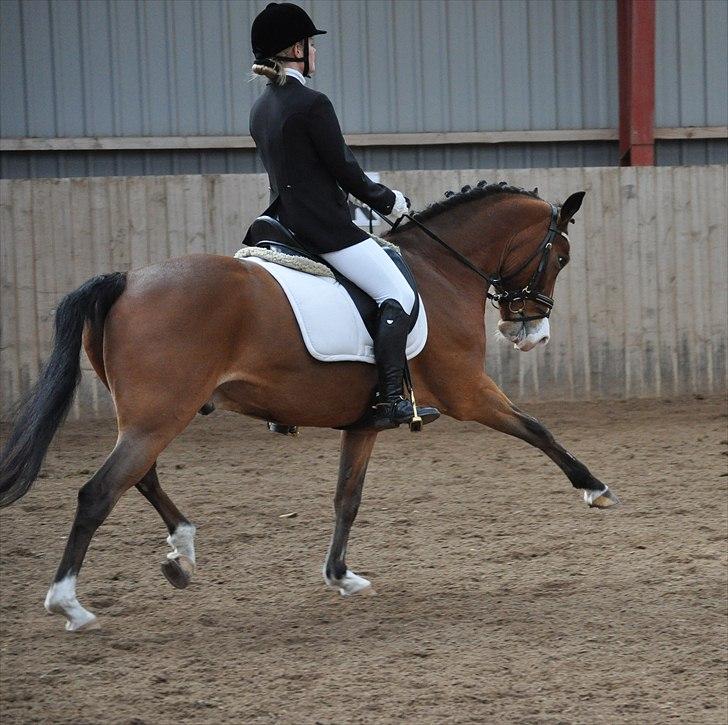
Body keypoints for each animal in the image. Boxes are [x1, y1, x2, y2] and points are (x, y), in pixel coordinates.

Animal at [0, 181, 619, 632]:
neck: (440, 273)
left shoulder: (367, 421)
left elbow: (348, 497)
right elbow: (537, 429)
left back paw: (182, 550)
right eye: (561, 256)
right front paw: (595, 488)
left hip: (152, 415)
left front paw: (341, 575)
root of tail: (128, 279)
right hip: (159, 414)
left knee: (140, 476)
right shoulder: (468, 392)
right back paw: (69, 603)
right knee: (99, 492)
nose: (530, 333)